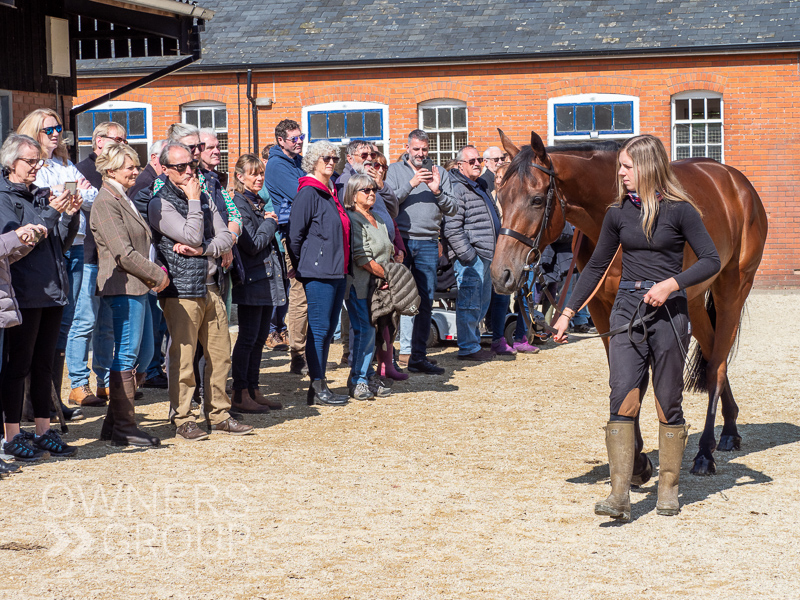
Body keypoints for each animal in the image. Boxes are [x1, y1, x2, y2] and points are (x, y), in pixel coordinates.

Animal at [494, 129, 768, 476]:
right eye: (500, 196)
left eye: (537, 199)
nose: (501, 274)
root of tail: (735, 181)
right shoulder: (601, 306)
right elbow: (623, 377)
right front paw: (636, 460)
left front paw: (639, 459)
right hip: (691, 302)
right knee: (711, 354)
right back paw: (730, 430)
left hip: (732, 287)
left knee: (718, 365)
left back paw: (706, 452)